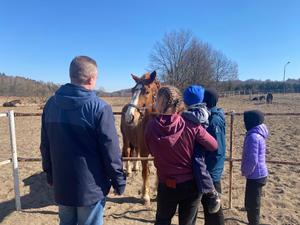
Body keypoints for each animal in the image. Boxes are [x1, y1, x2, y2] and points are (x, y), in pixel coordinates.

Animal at [120, 71, 161, 205]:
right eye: (132, 90)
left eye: (147, 91)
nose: (130, 116)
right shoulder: (144, 152)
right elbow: (145, 173)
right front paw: (145, 196)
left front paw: (157, 191)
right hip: (126, 139)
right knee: (128, 152)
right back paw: (128, 170)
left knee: (135, 152)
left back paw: (135, 167)